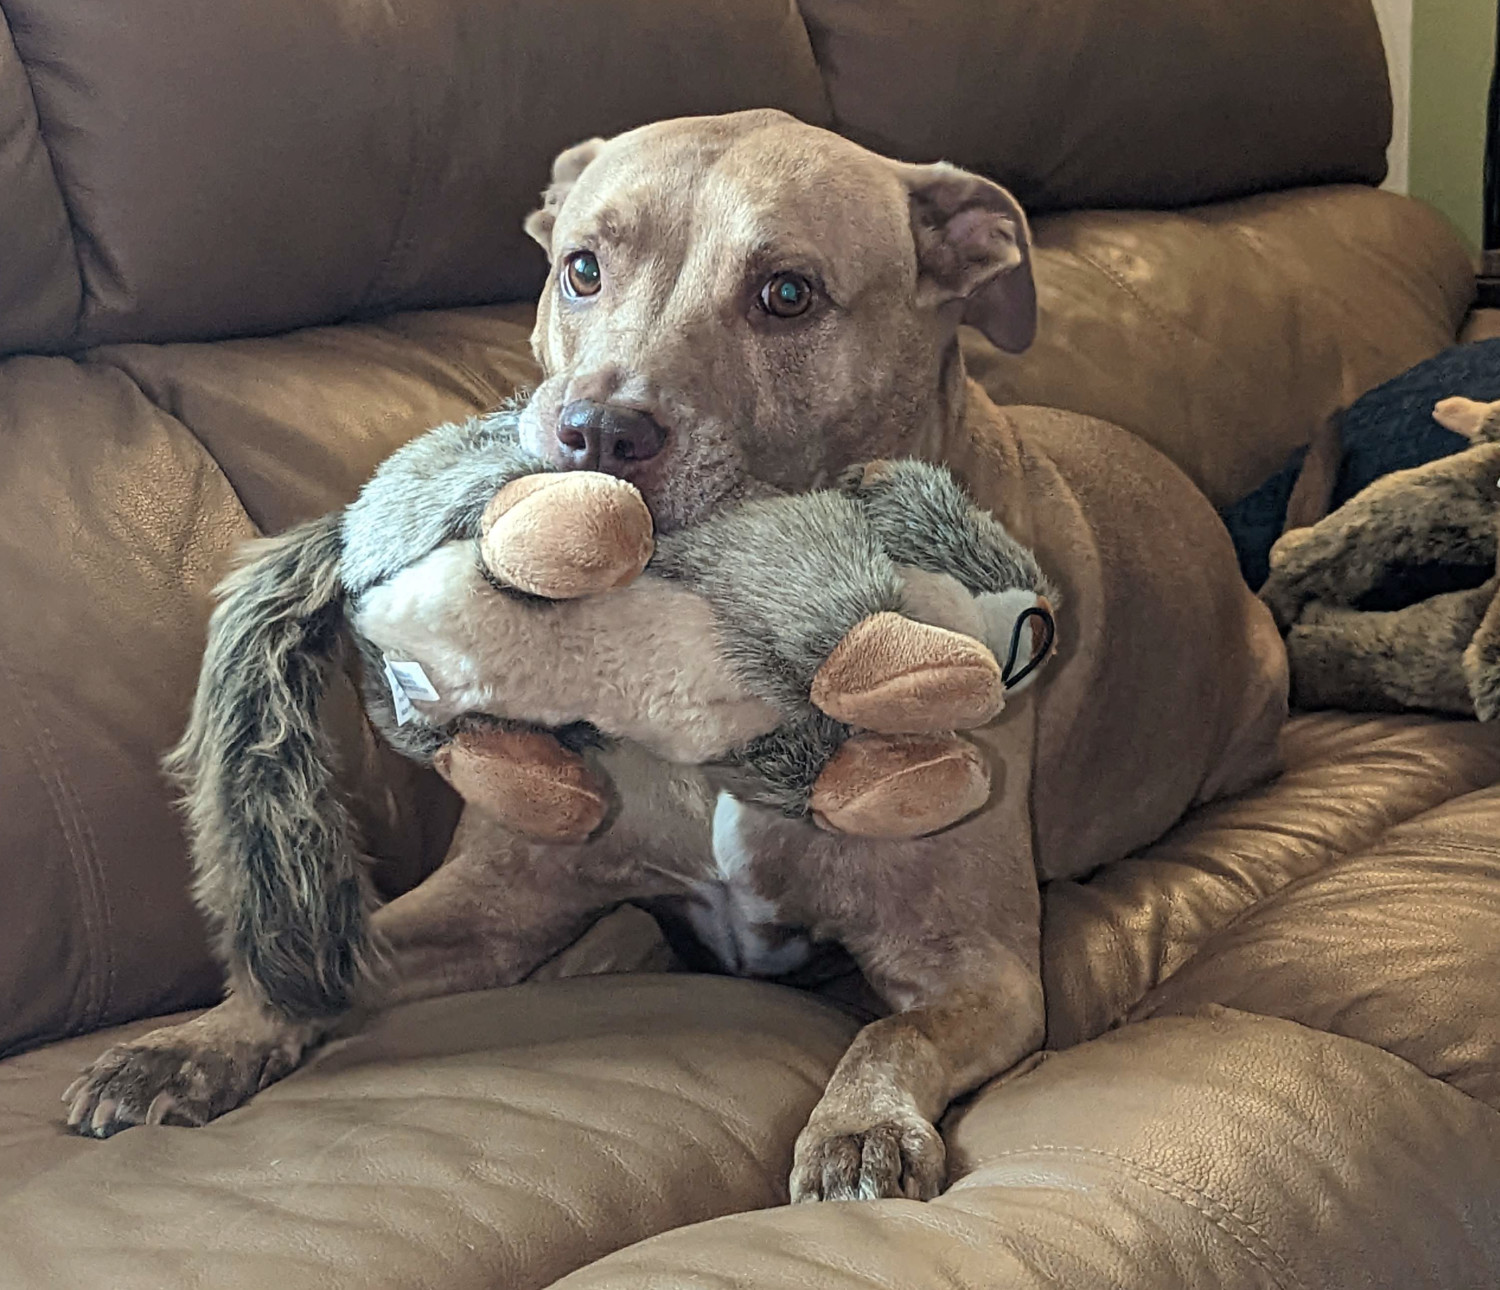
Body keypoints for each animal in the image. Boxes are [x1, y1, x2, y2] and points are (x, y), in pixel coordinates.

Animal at [67, 108, 1290, 1200]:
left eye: (788, 292)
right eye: (581, 269)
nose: (598, 434)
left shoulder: (975, 965)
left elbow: (888, 1039)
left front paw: (859, 1131)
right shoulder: (496, 901)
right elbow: (321, 969)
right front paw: (199, 1040)